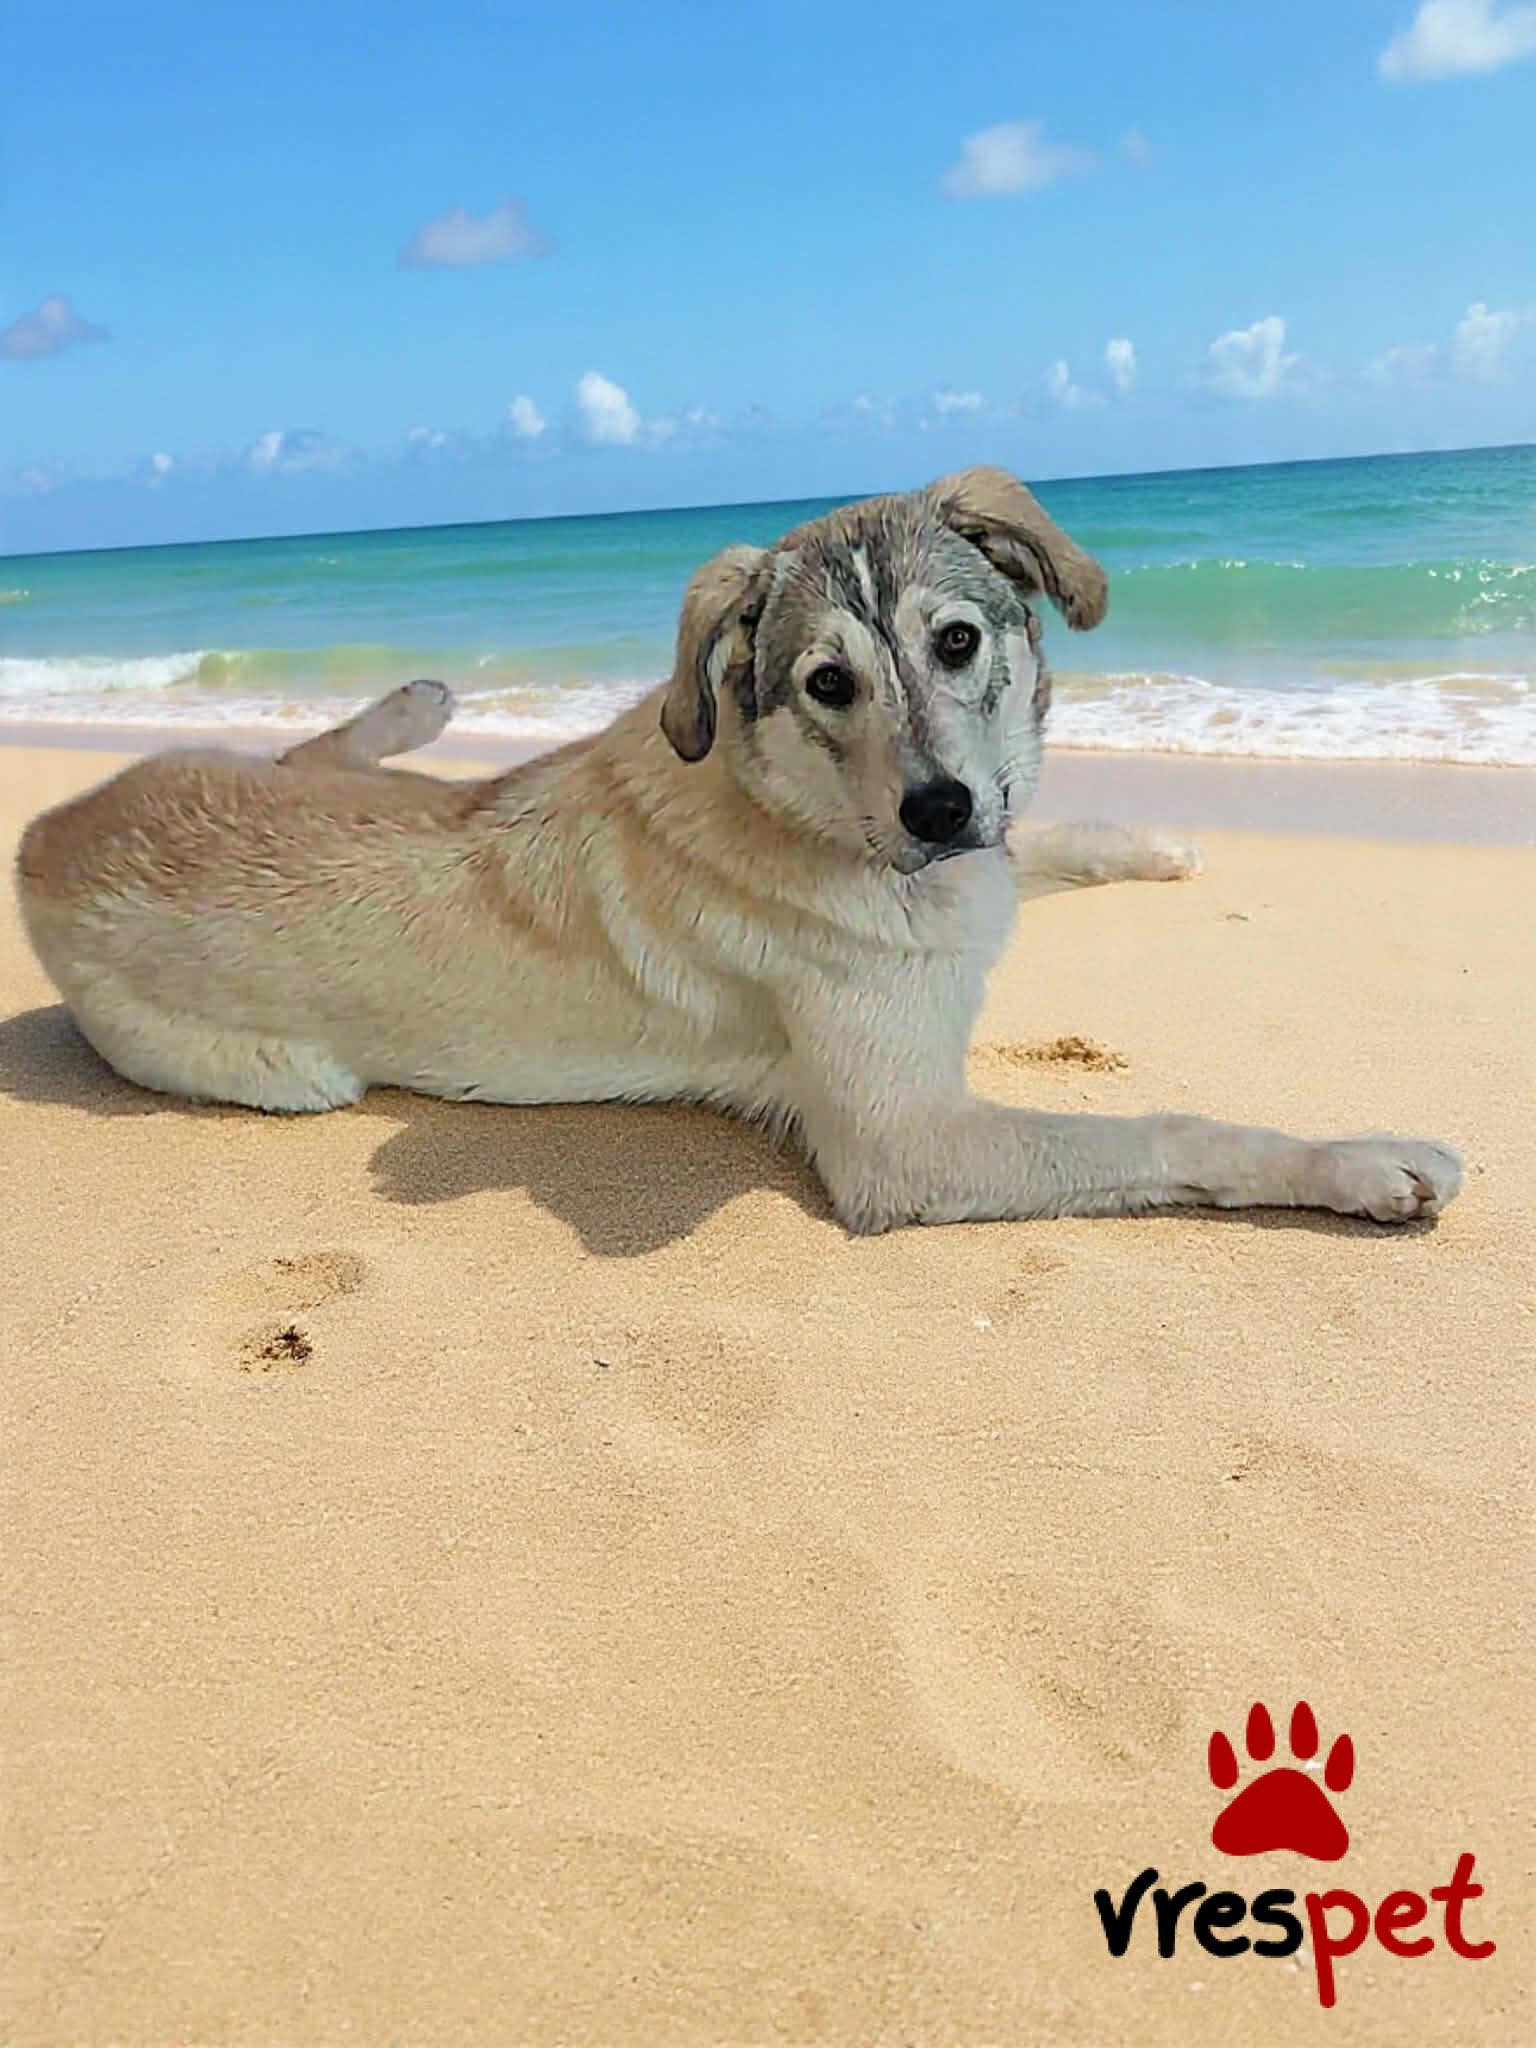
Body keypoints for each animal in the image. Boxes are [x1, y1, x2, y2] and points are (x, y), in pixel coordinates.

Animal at [16, 467, 1461, 1231]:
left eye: (956, 641)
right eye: (826, 683)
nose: (937, 811)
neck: (810, 816)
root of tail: (41, 832)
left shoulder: (980, 862)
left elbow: (1045, 844)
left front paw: (1155, 838)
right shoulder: (904, 1144)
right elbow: (1172, 1125)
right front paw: (1359, 1162)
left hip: (306, 778)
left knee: (319, 755)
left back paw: (414, 705)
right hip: (285, 1075)